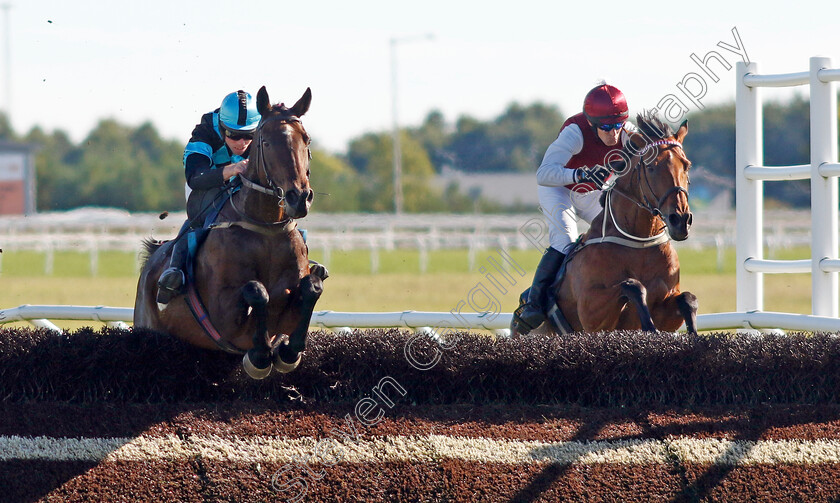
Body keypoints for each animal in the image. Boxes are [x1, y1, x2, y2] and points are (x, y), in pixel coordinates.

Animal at [135, 86, 324, 380]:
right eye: (265, 142)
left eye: (306, 139)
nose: (299, 197)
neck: (265, 228)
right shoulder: (223, 318)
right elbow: (257, 291)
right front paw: (259, 357)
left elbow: (311, 287)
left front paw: (287, 353)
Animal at [544, 112, 696, 336]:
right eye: (651, 167)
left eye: (686, 165)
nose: (681, 221)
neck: (640, 242)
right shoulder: (592, 315)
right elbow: (633, 286)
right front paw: (648, 328)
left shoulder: (666, 311)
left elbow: (688, 299)